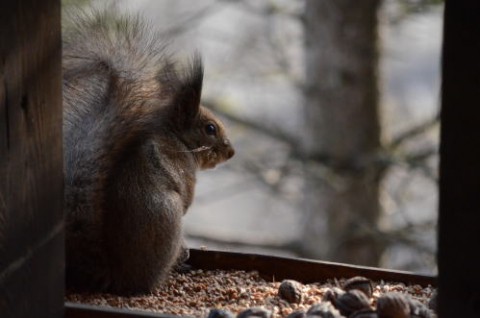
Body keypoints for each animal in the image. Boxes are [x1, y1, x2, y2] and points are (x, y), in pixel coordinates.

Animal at [62, 12, 235, 296]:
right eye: (210, 128)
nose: (231, 152)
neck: (177, 137)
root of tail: (116, 277)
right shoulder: (184, 171)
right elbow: (187, 197)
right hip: (168, 217)